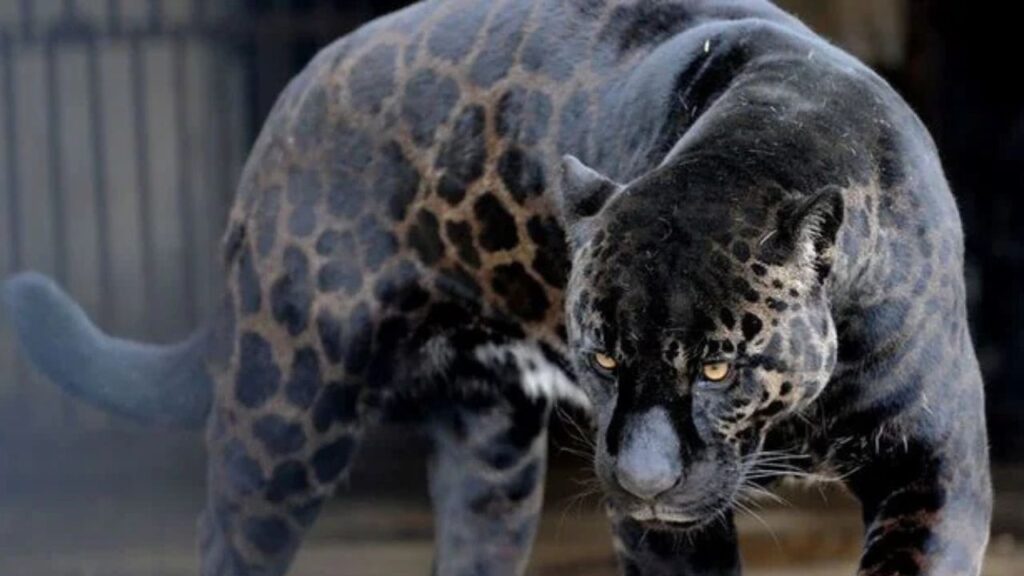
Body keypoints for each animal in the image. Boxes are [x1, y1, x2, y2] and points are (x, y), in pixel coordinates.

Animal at [3, 0, 992, 575]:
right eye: (601, 356)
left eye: (718, 368)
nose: (641, 477)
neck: (769, 129)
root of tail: (294, 94)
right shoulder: (661, 525)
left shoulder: (934, 465)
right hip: (285, 409)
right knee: (229, 538)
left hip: (492, 460)